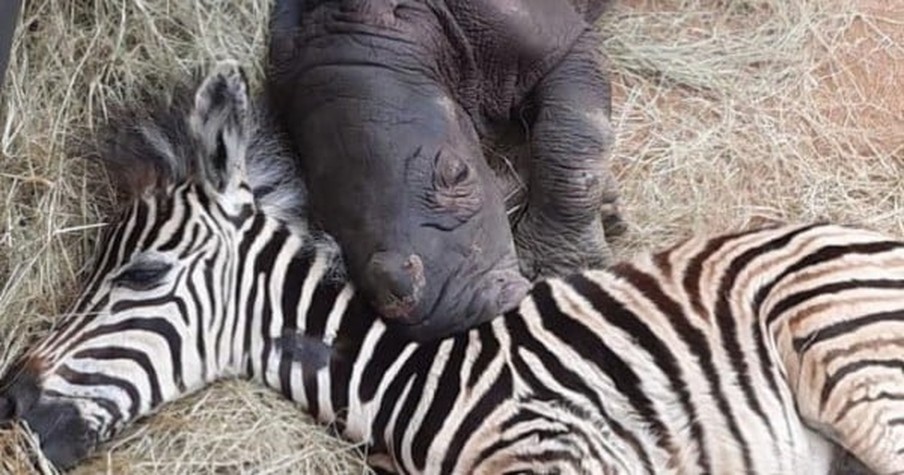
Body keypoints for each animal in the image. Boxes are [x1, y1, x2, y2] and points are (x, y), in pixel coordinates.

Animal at [268, 0, 620, 342]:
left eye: (458, 174)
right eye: (322, 226)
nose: (456, 318)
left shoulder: (563, 45)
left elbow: (574, 136)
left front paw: (563, 270)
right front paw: (609, 208)